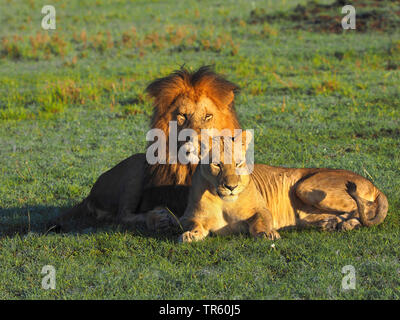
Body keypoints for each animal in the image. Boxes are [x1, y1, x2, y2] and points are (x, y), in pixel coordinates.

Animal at [52, 65, 241, 230]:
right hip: (135, 167)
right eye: (182, 115)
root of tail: (90, 195)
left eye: (208, 116)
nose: (198, 145)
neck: (192, 168)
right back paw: (159, 218)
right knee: (122, 216)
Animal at [177, 131, 388, 241]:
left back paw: (347, 224)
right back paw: (329, 224)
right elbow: (193, 224)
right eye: (217, 165)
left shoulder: (262, 209)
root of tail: (373, 185)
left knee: (365, 207)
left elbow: (260, 222)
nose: (231, 187)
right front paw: (190, 235)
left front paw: (267, 234)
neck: (224, 202)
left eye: (238, 163)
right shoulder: (187, 217)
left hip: (304, 186)